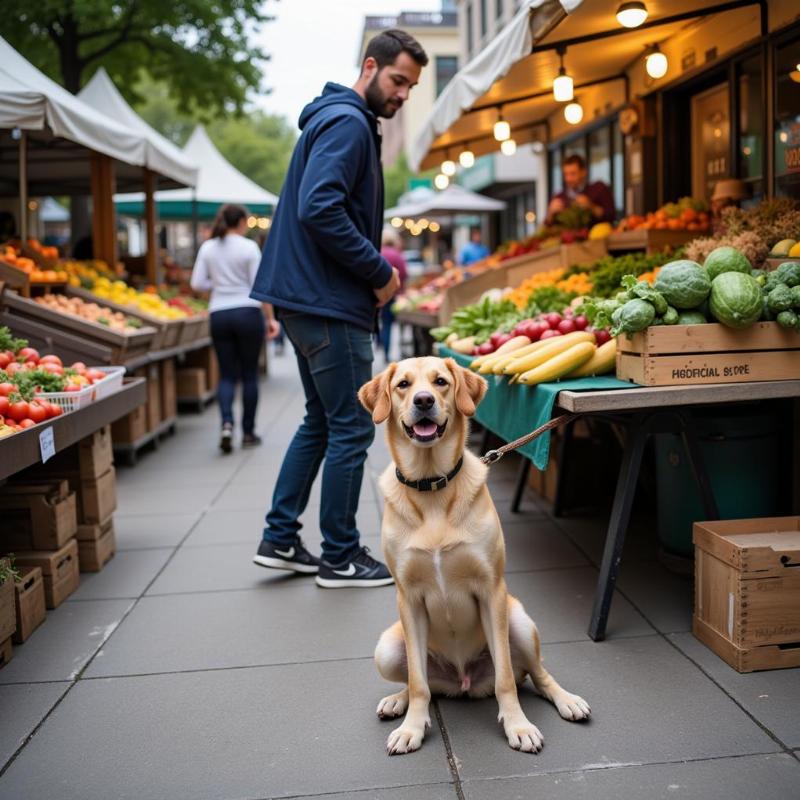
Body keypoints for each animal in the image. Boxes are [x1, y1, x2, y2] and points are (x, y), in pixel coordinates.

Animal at [360, 356, 592, 756]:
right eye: (403, 385)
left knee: (535, 675)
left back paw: (567, 700)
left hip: (520, 623)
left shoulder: (491, 590)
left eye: (440, 381)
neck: (431, 486)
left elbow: (506, 681)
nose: (423, 400)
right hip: (388, 649)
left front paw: (517, 725)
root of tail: (463, 682)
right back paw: (398, 701)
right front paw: (411, 728)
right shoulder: (408, 598)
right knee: (421, 682)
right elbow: (418, 681)